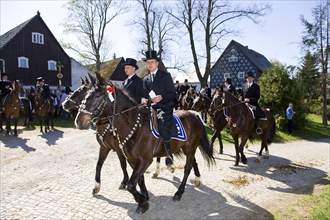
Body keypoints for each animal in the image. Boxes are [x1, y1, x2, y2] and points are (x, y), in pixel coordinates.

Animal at [73, 73, 215, 213]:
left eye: (97, 96)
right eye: (86, 95)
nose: (79, 121)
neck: (134, 126)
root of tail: (194, 114)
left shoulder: (145, 160)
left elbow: (131, 184)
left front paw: (142, 202)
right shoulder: (131, 158)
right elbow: (138, 179)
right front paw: (144, 196)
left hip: (190, 147)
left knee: (187, 168)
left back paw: (179, 192)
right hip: (187, 148)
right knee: (193, 163)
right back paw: (196, 180)